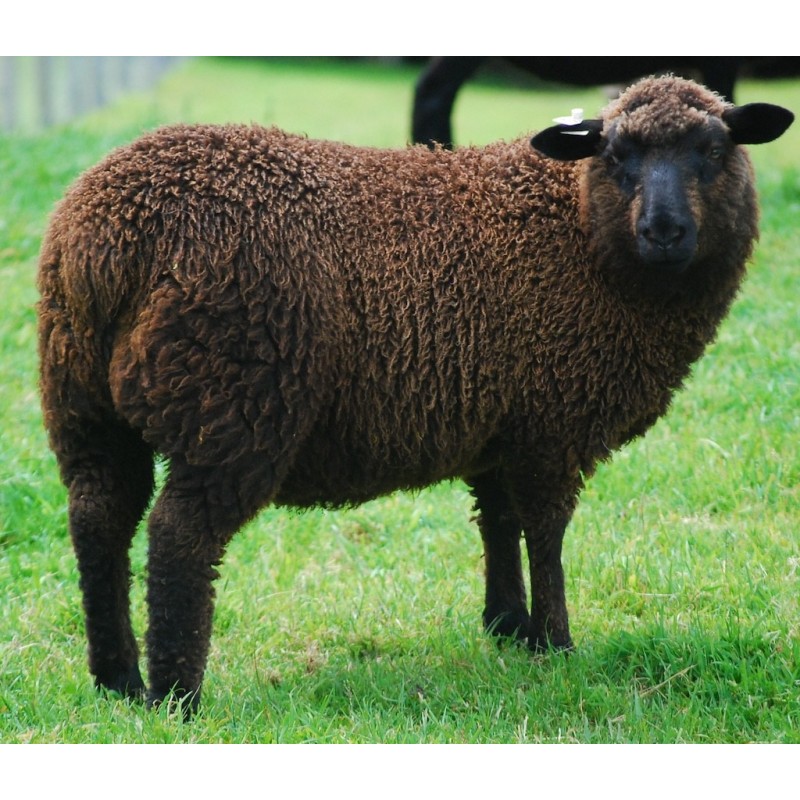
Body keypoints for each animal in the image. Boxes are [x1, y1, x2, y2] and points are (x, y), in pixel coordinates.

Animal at [37, 75, 793, 716]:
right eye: (615, 154)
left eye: (713, 149)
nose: (663, 231)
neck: (578, 230)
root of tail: (109, 239)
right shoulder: (551, 422)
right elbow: (546, 533)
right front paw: (555, 642)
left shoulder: (500, 421)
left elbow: (498, 521)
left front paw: (506, 626)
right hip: (232, 403)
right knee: (179, 538)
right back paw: (176, 695)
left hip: (82, 403)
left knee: (98, 519)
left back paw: (116, 680)